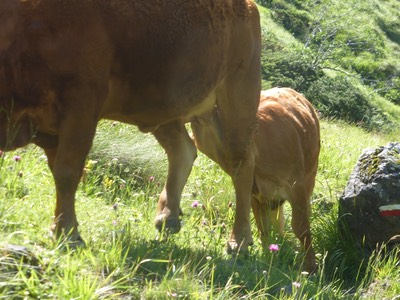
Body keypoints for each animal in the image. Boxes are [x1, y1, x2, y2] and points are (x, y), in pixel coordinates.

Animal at [0, 0, 260, 251]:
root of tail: (248, 6)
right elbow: (59, 172)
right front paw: (62, 229)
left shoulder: (81, 105)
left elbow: (67, 172)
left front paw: (68, 234)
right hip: (168, 110)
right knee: (183, 150)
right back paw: (167, 218)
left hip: (237, 100)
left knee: (242, 165)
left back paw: (239, 241)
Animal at [195, 87, 320, 272]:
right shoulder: (255, 193)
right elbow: (263, 228)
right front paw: (268, 257)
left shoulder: (296, 186)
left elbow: (301, 227)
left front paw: (311, 267)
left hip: (310, 176)